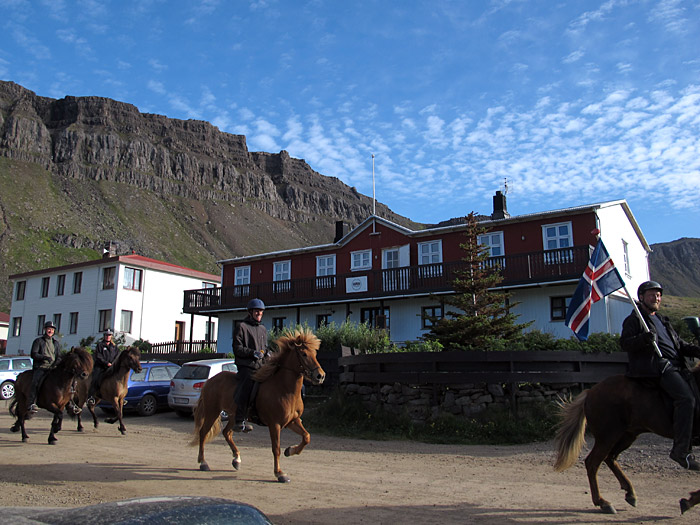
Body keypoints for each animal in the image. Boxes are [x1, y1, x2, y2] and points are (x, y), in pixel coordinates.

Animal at [189, 328, 326, 484]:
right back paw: (203, 462)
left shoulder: (292, 421)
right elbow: (276, 448)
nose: (320, 376)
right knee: (203, 433)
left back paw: (236, 459)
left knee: (227, 433)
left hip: (234, 416)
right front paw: (279, 473)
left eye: (314, 353)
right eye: (303, 354)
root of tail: (211, 380)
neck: (284, 388)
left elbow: (306, 437)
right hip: (212, 411)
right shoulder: (275, 424)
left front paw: (290, 451)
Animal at [556, 366, 700, 512]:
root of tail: (591, 391)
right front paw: (689, 501)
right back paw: (603, 502)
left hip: (627, 436)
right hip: (607, 437)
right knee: (592, 463)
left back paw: (630, 493)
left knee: (610, 458)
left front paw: (690, 501)